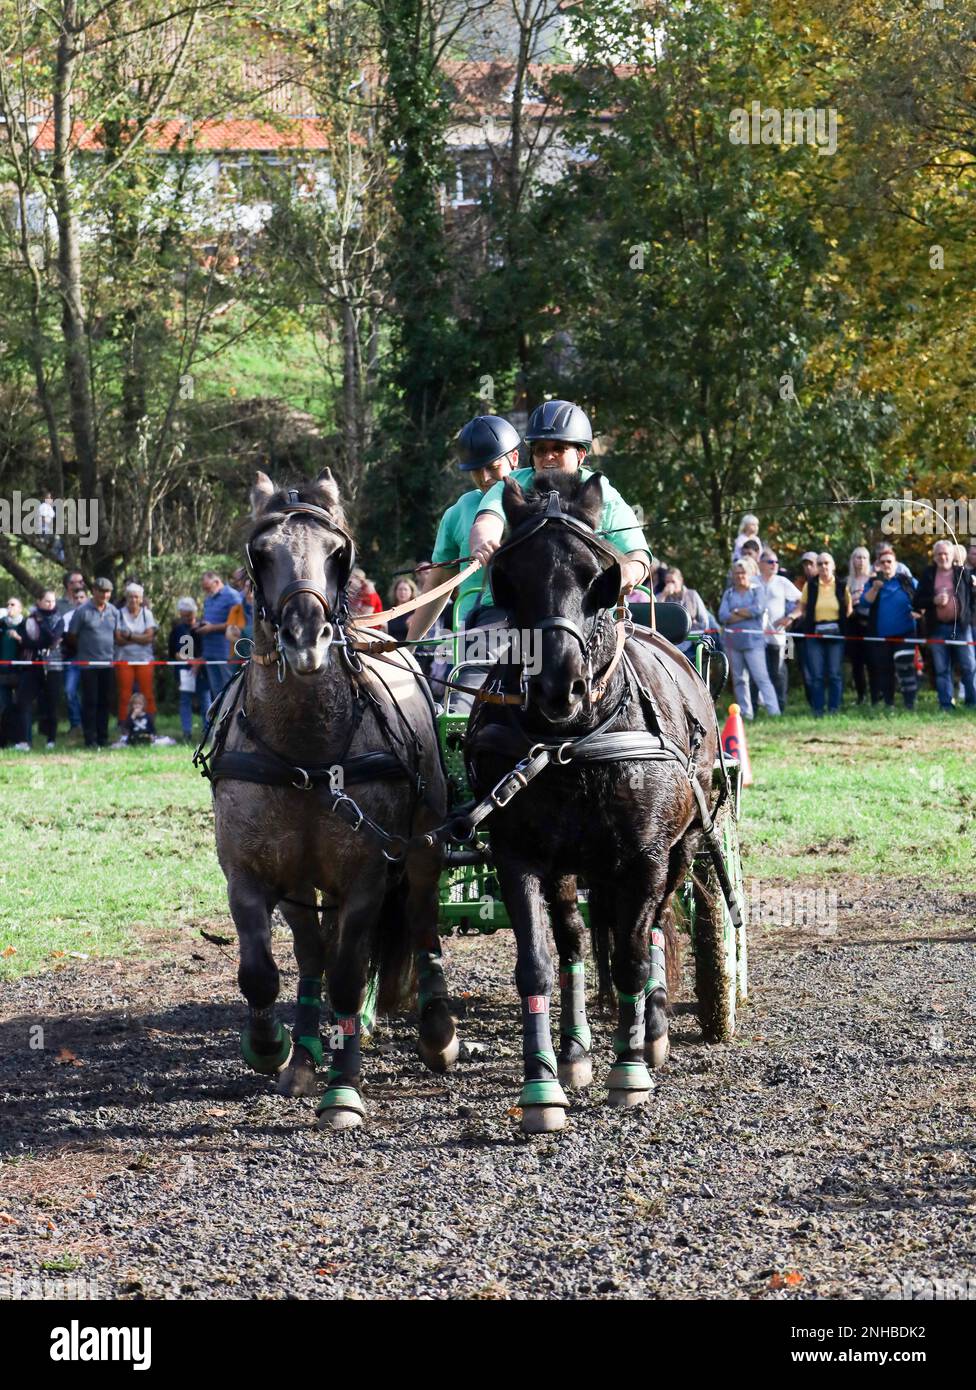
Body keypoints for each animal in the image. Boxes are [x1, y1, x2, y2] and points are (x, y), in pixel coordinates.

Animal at [200, 468, 458, 1130]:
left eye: (338, 554)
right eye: (261, 555)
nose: (305, 637)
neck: (307, 755)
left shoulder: (367, 874)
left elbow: (347, 976)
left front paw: (344, 1089)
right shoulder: (251, 873)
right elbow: (262, 973)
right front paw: (271, 1047)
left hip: (422, 851)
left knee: (421, 925)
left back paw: (435, 1031)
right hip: (306, 883)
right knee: (314, 951)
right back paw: (304, 1055)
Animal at [464, 471, 719, 1133]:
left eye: (595, 576)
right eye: (510, 577)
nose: (560, 686)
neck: (571, 743)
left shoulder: (646, 858)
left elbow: (631, 954)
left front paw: (630, 1072)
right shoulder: (519, 854)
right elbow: (539, 961)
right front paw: (542, 1086)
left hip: (682, 849)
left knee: (653, 927)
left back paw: (652, 1031)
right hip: (571, 866)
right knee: (577, 940)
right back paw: (577, 1050)